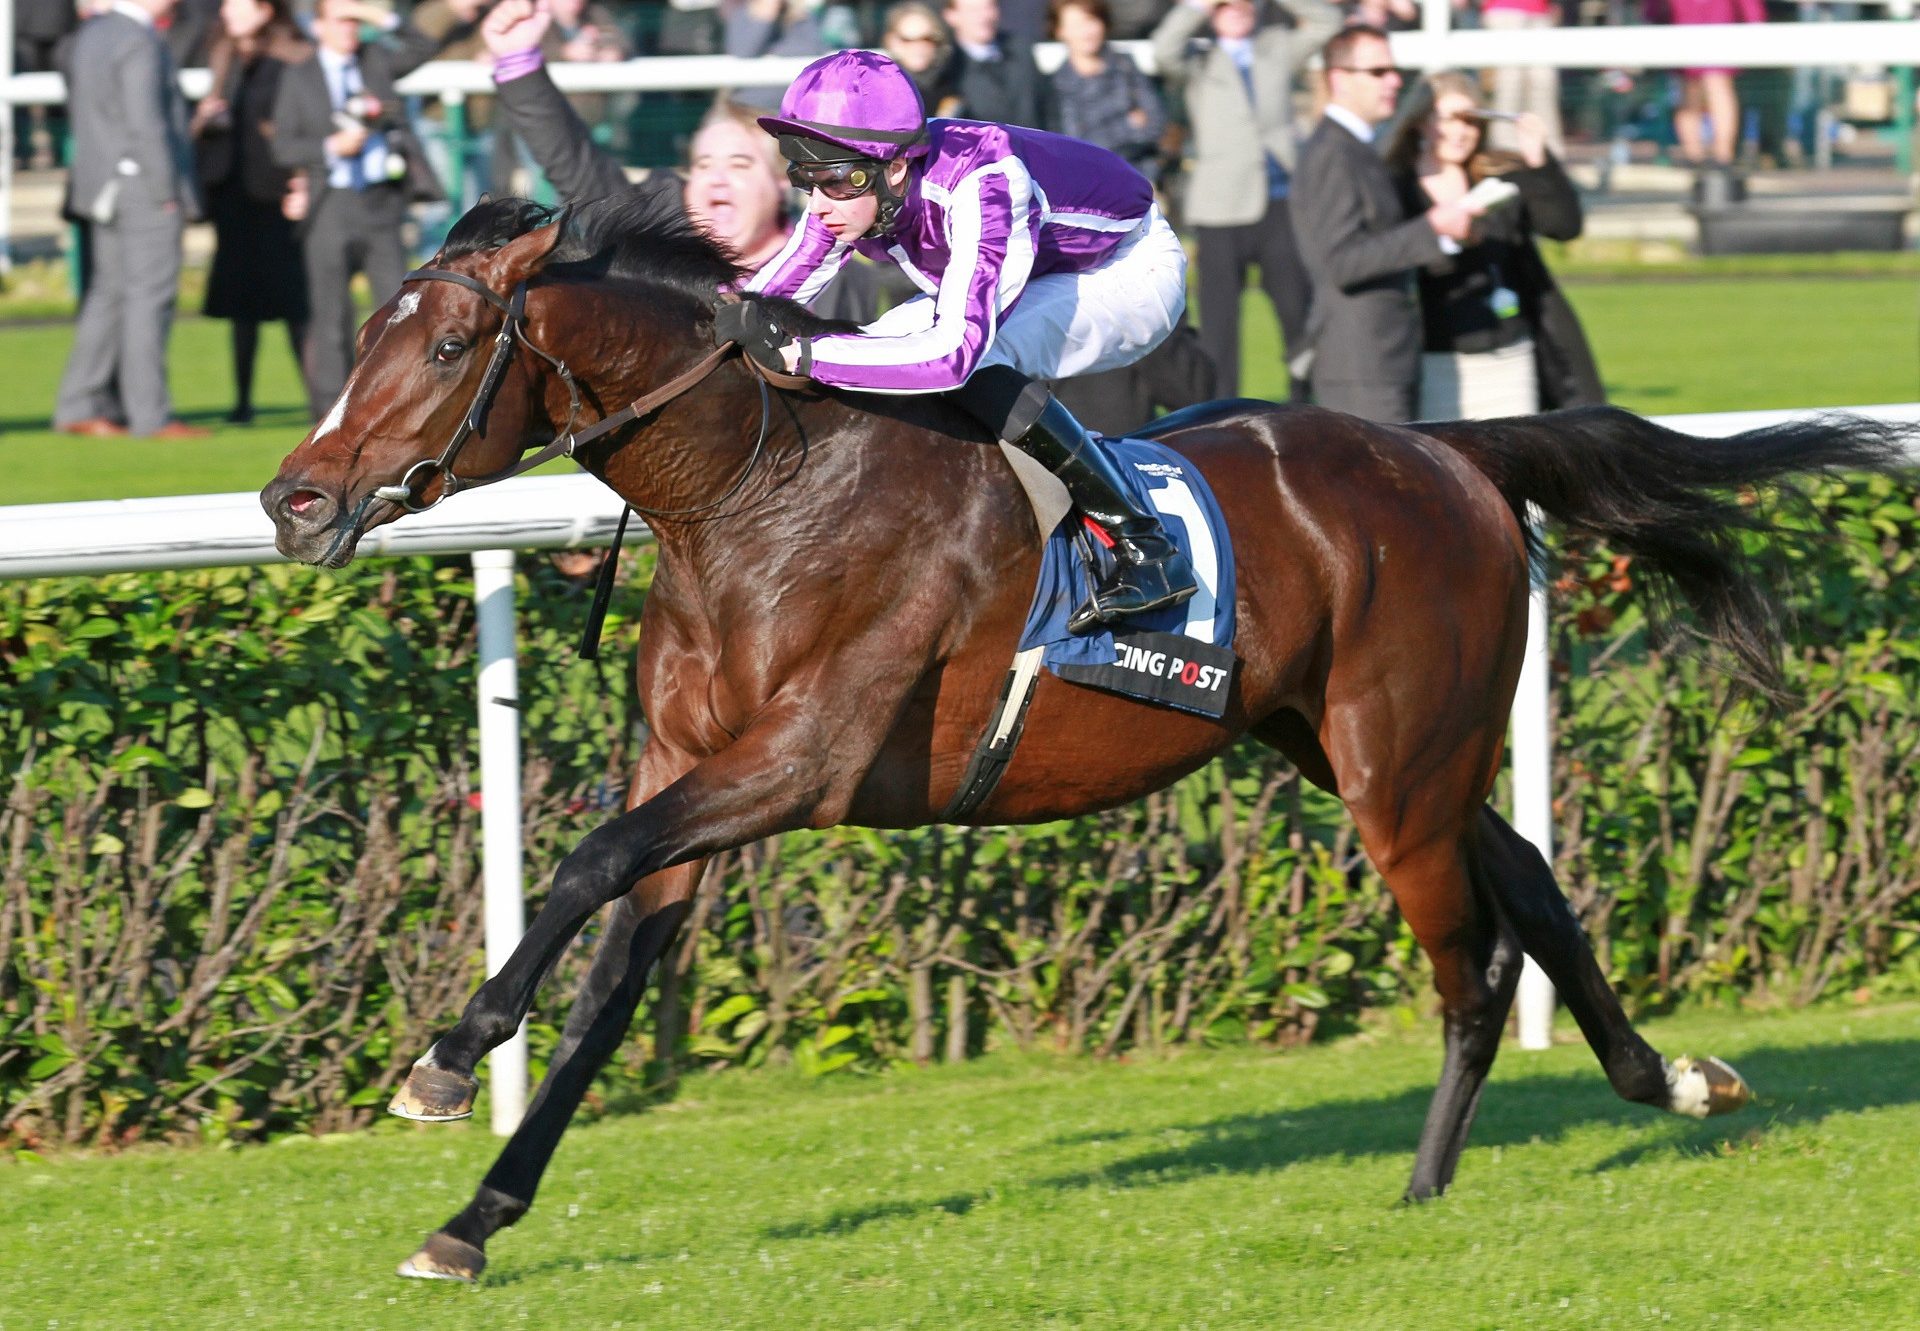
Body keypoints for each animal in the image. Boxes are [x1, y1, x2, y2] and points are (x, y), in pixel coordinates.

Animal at [263, 192, 1912, 1282]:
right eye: (367, 336)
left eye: (452, 340)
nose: (291, 496)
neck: (756, 492)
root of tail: (1446, 447)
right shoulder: (697, 772)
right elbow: (609, 978)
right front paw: (472, 1216)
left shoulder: (799, 764)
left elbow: (587, 861)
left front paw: (442, 1052)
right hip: (1352, 742)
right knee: (1536, 884)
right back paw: (1671, 1079)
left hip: (1393, 768)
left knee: (1472, 954)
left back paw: (1426, 1186)